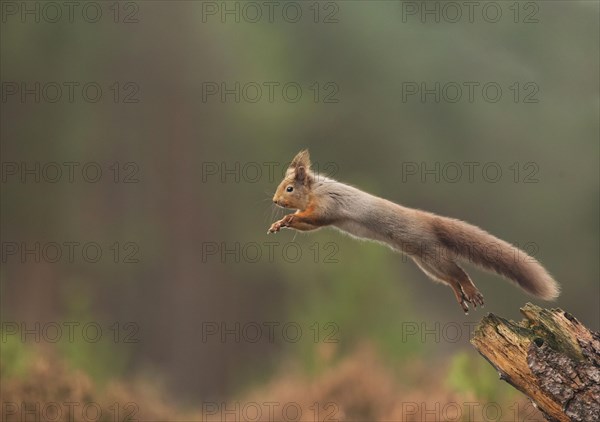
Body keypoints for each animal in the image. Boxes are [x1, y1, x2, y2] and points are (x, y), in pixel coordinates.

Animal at [266, 149, 556, 314]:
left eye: (289, 188)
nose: (275, 201)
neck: (315, 191)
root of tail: (428, 220)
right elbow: (308, 225)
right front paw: (280, 224)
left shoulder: (328, 205)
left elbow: (312, 217)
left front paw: (288, 217)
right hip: (426, 263)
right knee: (449, 279)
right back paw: (459, 295)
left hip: (432, 253)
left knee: (459, 272)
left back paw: (471, 291)